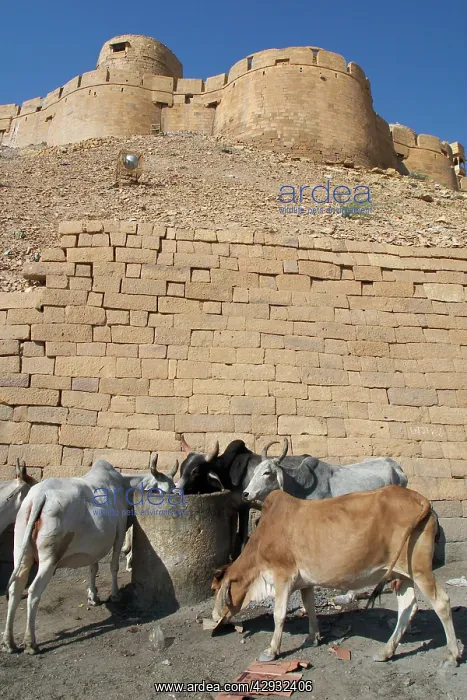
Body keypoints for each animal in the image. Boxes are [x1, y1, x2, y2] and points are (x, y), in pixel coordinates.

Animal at [2, 455, 178, 654]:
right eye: (158, 490)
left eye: (173, 488)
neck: (124, 484)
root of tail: (40, 496)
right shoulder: (119, 533)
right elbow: (113, 566)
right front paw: (114, 595)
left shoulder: (95, 546)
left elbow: (93, 568)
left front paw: (93, 596)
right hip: (49, 558)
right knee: (33, 592)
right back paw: (30, 642)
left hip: (21, 552)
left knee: (15, 588)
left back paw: (9, 642)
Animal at [211, 486, 461, 668]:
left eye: (215, 590)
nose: (213, 617)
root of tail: (421, 499)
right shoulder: (305, 582)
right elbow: (309, 607)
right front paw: (313, 637)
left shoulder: (283, 576)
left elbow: (279, 615)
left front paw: (272, 651)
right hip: (402, 574)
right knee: (408, 608)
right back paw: (385, 652)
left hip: (420, 570)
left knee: (442, 603)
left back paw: (452, 655)